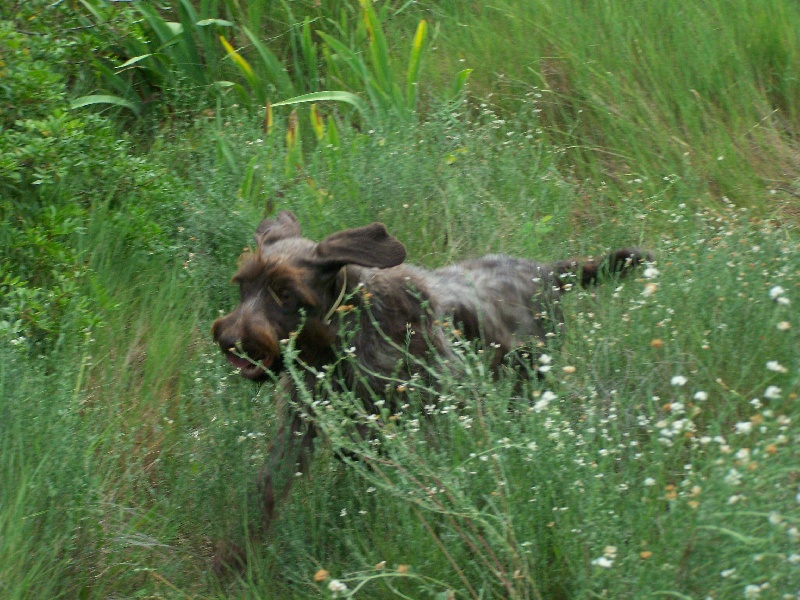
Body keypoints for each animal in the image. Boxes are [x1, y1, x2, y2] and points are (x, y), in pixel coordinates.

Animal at [211, 213, 644, 540]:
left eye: (285, 292)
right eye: (243, 286)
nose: (229, 340)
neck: (339, 339)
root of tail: (548, 272)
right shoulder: (302, 427)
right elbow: (267, 490)